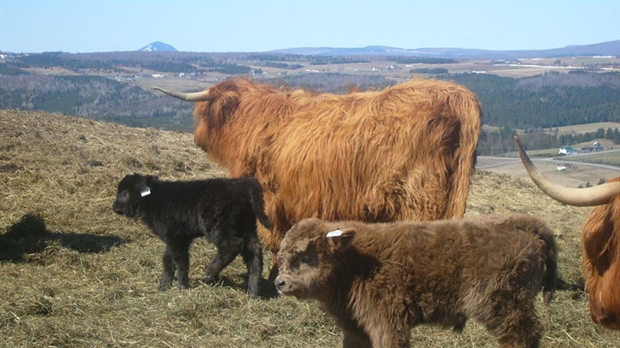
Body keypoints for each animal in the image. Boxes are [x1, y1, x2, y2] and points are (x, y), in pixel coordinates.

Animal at [113, 174, 272, 296]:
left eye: (124, 193)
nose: (114, 207)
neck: (155, 199)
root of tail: (243, 183)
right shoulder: (174, 239)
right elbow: (168, 260)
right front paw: (164, 285)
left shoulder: (176, 238)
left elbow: (181, 262)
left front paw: (183, 287)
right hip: (247, 227)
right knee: (254, 252)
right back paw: (252, 291)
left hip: (218, 225)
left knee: (232, 245)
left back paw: (210, 273)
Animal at [276, 216, 556, 346]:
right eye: (284, 255)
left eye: (307, 257)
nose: (279, 283)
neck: (355, 263)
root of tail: (520, 224)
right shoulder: (357, 327)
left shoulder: (388, 320)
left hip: (503, 303)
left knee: (523, 334)